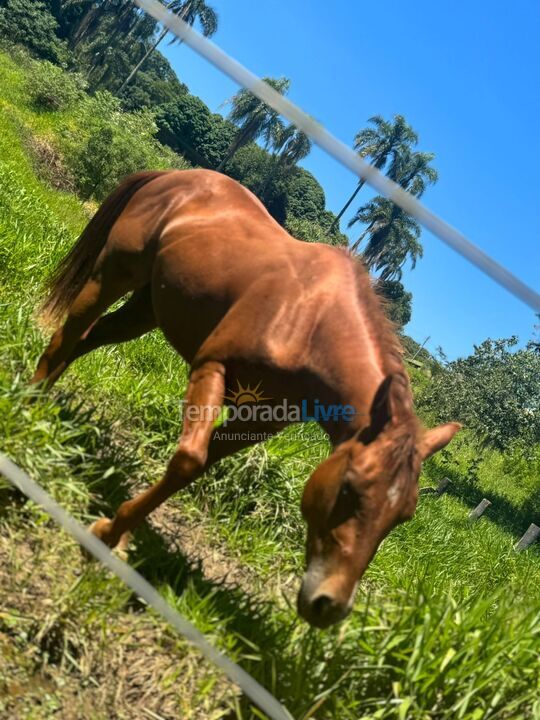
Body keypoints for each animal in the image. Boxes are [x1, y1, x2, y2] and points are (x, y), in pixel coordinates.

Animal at [31, 170, 458, 632]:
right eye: (349, 488)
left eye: (404, 515)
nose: (329, 606)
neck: (309, 321)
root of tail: (173, 176)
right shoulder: (212, 366)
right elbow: (188, 460)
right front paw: (108, 536)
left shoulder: (258, 420)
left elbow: (197, 467)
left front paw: (115, 532)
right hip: (112, 273)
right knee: (66, 337)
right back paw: (27, 406)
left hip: (147, 308)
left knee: (86, 341)